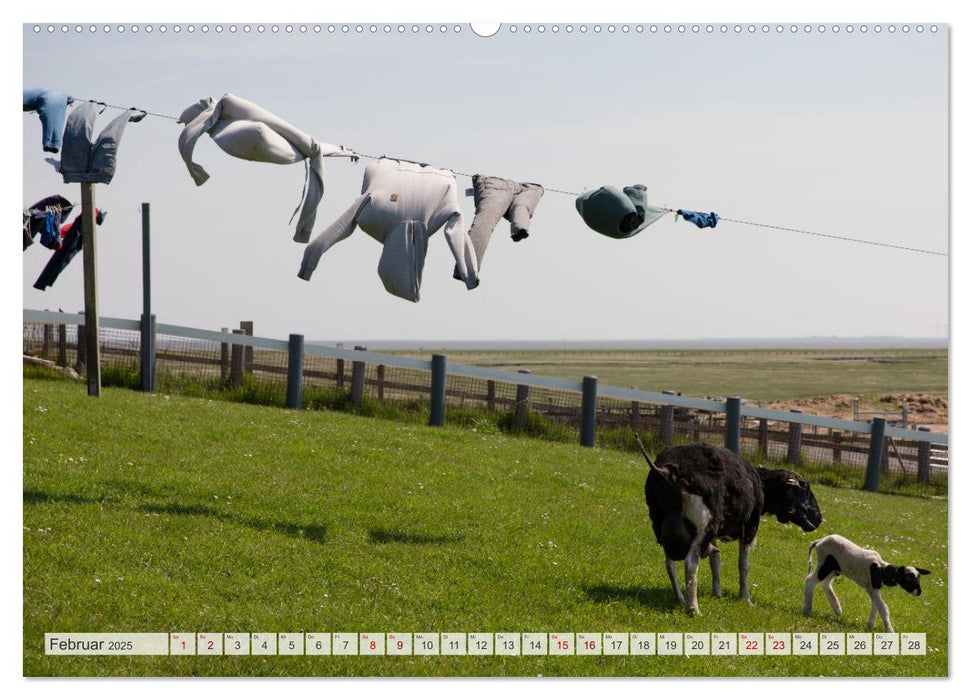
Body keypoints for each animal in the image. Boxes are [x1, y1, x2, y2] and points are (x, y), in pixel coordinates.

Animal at [640, 434, 824, 616]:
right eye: (805, 488)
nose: (819, 518)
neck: (762, 486)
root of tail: (667, 471)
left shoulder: (714, 532)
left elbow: (716, 559)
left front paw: (717, 593)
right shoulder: (749, 528)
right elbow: (743, 565)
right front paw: (745, 598)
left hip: (661, 523)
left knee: (670, 563)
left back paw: (680, 599)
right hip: (703, 525)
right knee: (690, 563)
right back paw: (693, 608)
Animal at [800, 532, 932, 632]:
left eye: (919, 578)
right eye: (908, 578)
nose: (919, 592)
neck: (881, 569)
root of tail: (819, 541)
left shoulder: (873, 589)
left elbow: (876, 605)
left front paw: (871, 624)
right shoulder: (872, 588)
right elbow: (883, 607)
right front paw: (889, 630)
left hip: (835, 568)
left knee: (825, 583)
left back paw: (837, 608)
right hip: (824, 563)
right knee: (810, 581)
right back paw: (807, 609)